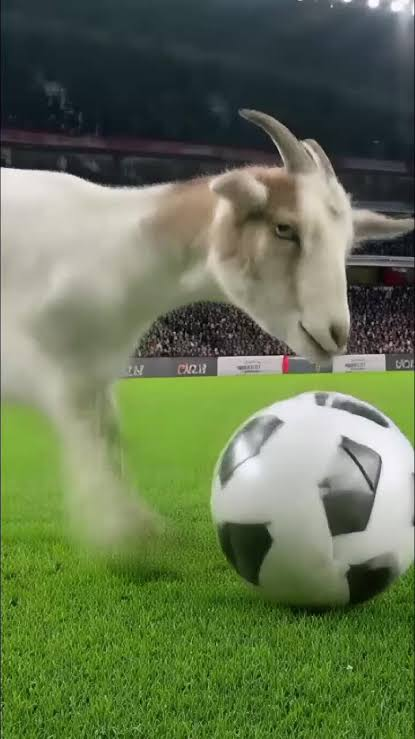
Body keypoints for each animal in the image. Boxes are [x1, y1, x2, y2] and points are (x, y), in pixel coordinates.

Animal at [1, 109, 413, 555]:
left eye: (347, 246)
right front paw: (116, 533)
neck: (109, 249)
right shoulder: (44, 366)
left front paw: (138, 527)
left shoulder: (93, 373)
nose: (335, 333)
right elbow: (88, 436)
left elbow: (107, 437)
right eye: (284, 228)